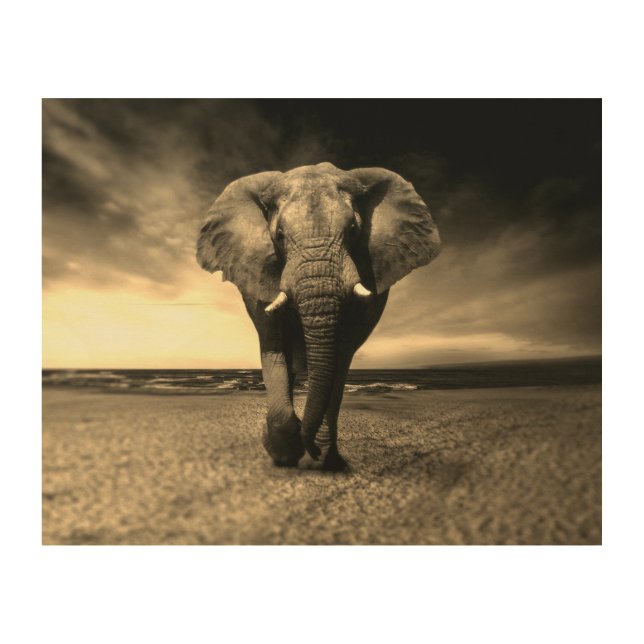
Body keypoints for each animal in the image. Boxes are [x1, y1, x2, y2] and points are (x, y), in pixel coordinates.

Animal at [196, 162, 441, 470]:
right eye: (279, 236)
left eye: (353, 230)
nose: (309, 448)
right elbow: (274, 347)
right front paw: (285, 453)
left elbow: (340, 355)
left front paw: (318, 456)